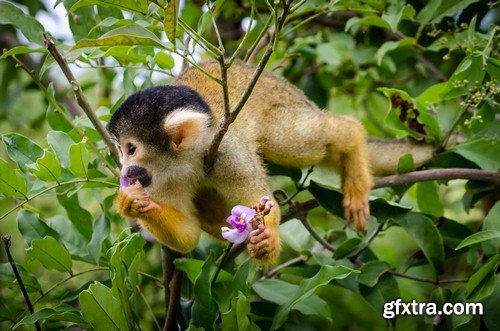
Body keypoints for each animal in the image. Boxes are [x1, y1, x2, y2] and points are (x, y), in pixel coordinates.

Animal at [109, 61, 434, 264]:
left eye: (131, 149)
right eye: (122, 151)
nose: (125, 170)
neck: (186, 159)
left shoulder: (227, 151)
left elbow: (263, 203)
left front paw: (268, 241)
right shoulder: (161, 179)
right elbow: (188, 237)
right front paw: (132, 204)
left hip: (283, 108)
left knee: (293, 141)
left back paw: (353, 140)